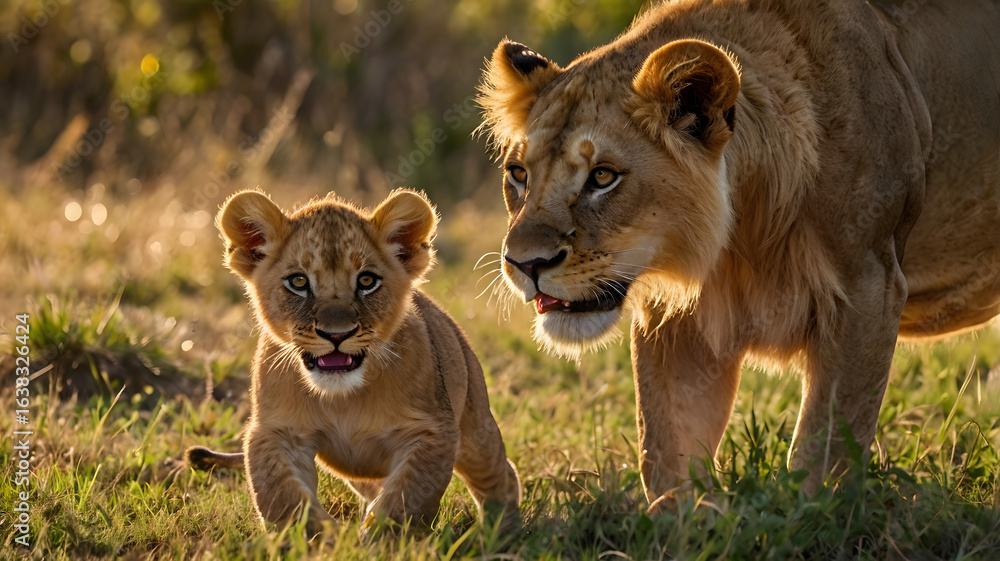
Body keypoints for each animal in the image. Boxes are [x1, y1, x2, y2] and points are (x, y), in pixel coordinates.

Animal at [186, 188, 521, 535]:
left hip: (475, 429)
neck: (343, 398)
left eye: (367, 281)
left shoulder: (433, 432)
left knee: (499, 473)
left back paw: (502, 529)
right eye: (298, 282)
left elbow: (407, 498)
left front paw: (380, 540)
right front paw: (320, 538)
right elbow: (285, 497)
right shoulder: (277, 431)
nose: (337, 334)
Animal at [477, 0, 1000, 506]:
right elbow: (665, 452)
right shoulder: (674, 319)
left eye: (603, 176)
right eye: (519, 174)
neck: (738, 240)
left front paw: (809, 519)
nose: (524, 264)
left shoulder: (870, 286)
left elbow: (825, 447)